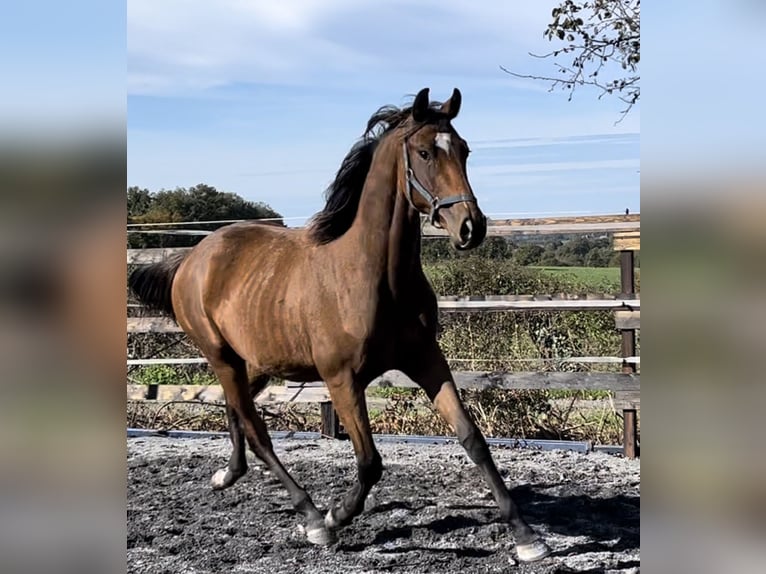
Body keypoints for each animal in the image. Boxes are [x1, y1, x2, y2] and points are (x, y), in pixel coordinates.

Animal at [130, 89, 552, 564]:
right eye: (425, 152)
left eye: (464, 150)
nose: (471, 227)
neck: (376, 277)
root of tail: (194, 257)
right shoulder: (341, 379)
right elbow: (369, 461)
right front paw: (334, 518)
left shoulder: (426, 360)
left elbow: (473, 439)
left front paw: (527, 537)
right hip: (221, 356)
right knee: (258, 431)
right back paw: (311, 516)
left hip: (254, 361)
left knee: (235, 409)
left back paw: (227, 475)